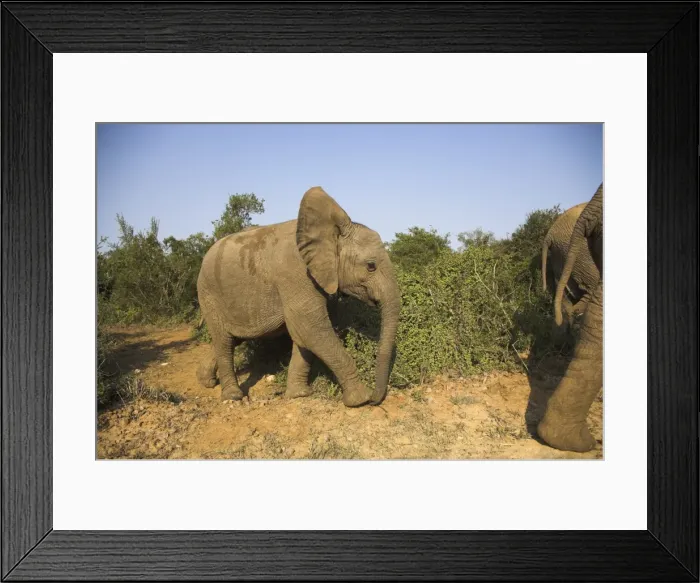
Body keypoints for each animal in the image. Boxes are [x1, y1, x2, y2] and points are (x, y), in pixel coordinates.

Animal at [195, 186, 401, 408]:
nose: (375, 399)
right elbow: (311, 328)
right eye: (371, 266)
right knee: (224, 341)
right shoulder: (296, 274)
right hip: (208, 293)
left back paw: (205, 380)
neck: (330, 234)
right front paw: (359, 400)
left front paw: (299, 395)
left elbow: (305, 337)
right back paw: (233, 396)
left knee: (233, 339)